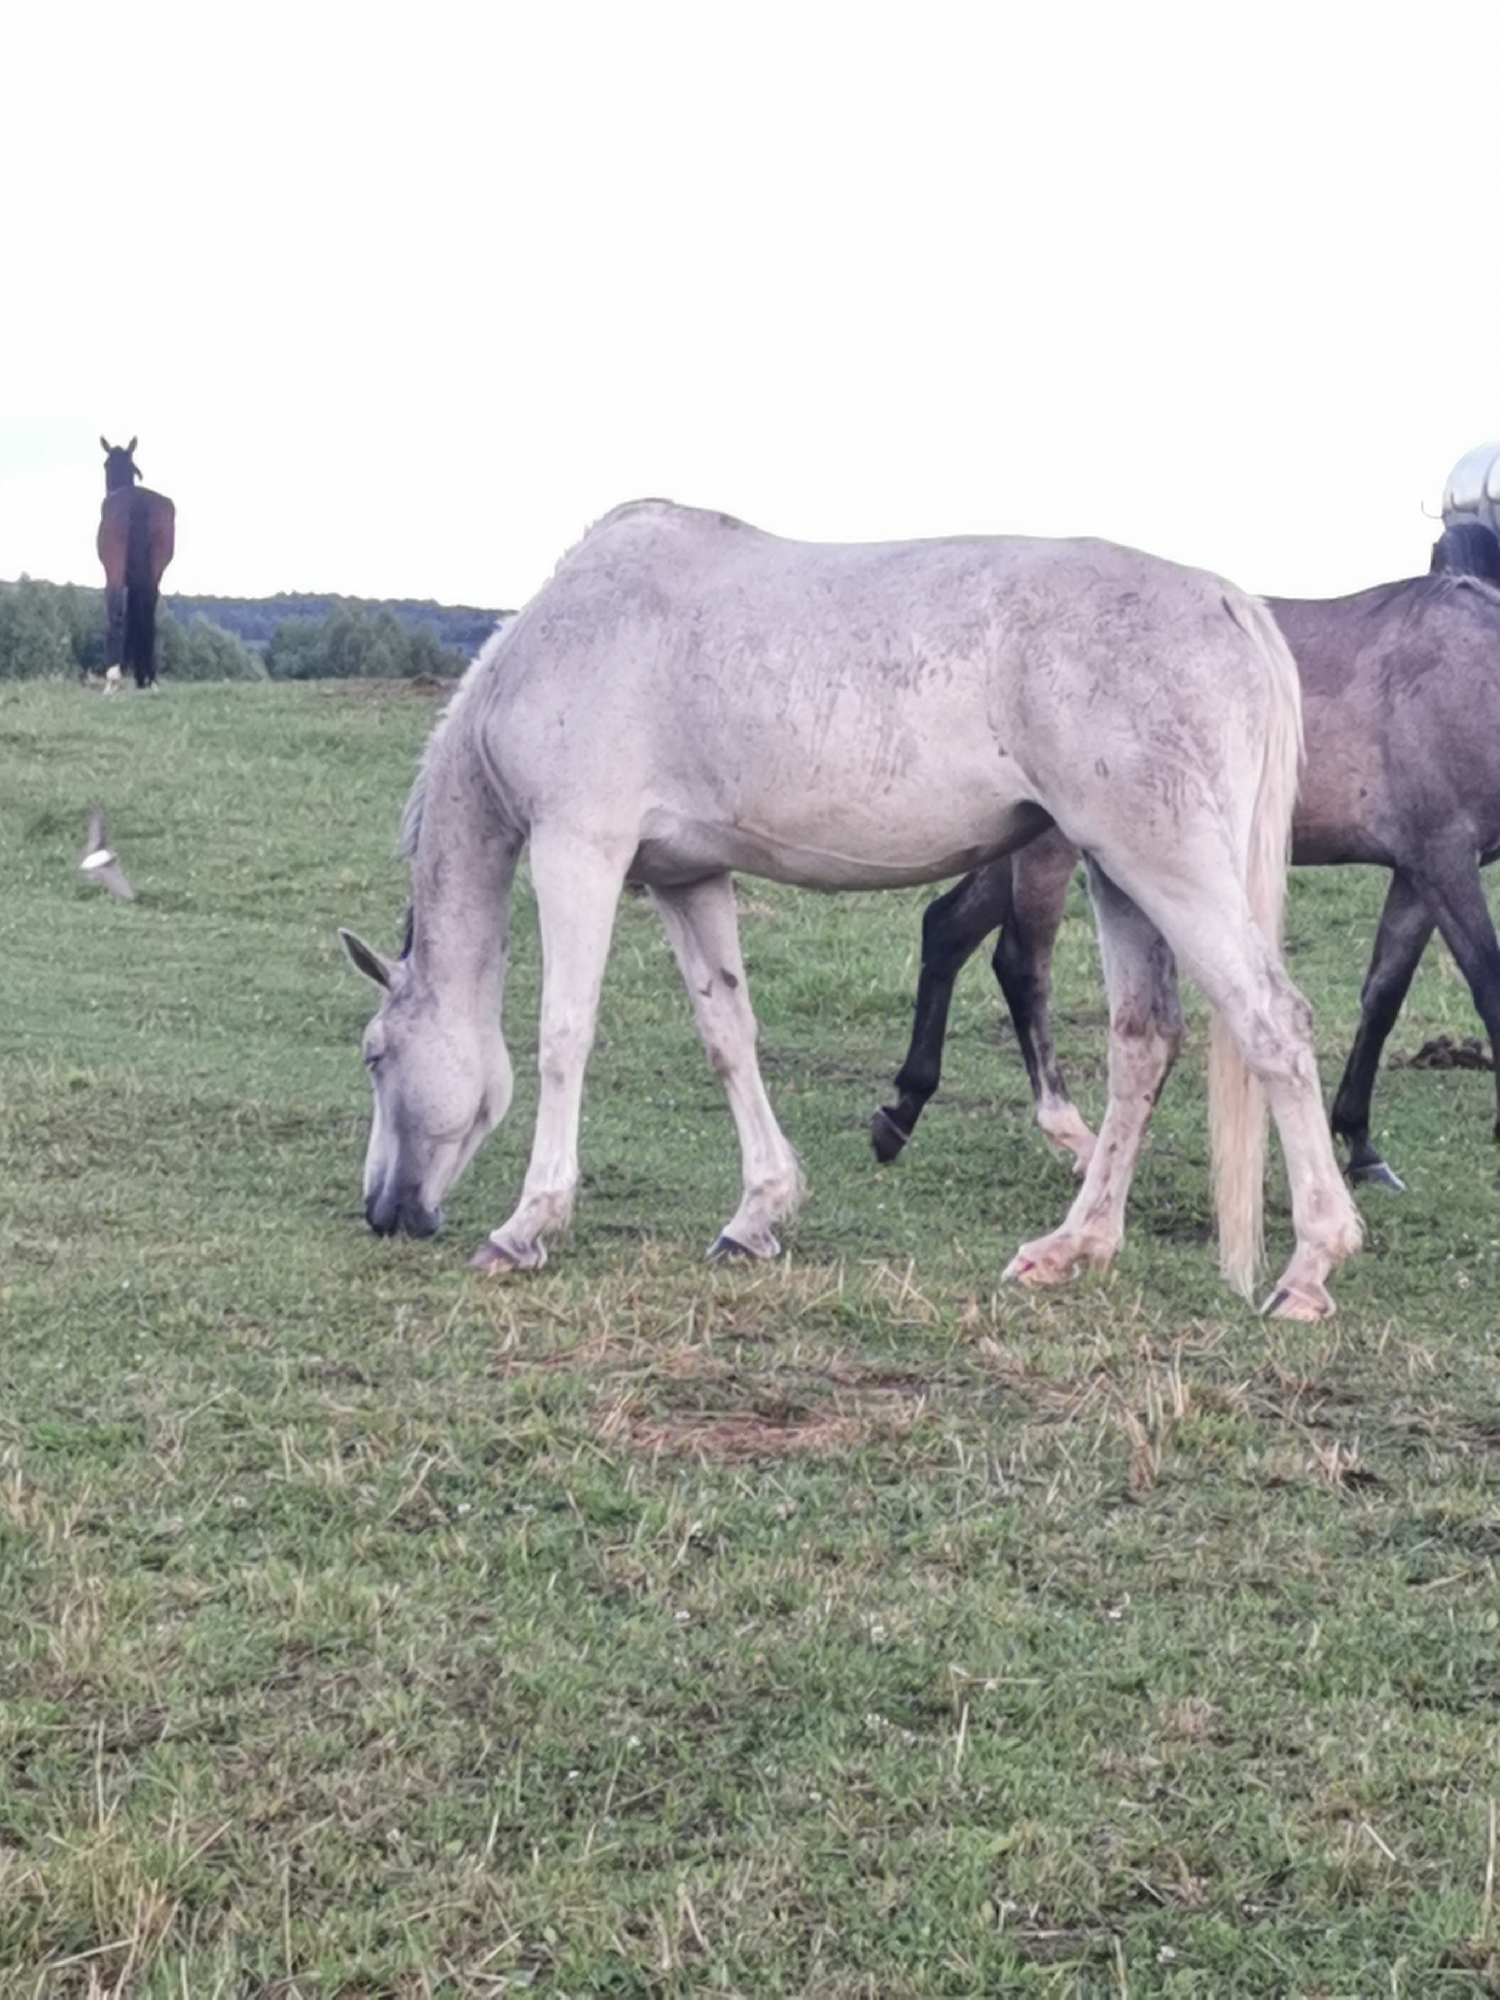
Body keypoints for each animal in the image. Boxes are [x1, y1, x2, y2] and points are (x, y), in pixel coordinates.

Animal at [97, 437, 175, 689]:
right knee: (148, 609)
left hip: (114, 568)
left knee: (116, 609)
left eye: (105, 464)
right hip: (155, 572)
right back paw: (149, 676)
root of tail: (138, 502)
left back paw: (112, 677)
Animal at [342, 502, 1361, 1316]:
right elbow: (729, 1035)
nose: (383, 1213)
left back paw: (1311, 1267)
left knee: (1273, 1024)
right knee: (1144, 1041)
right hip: (1118, 875)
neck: (556, 643)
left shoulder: (577, 850)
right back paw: (1075, 1245)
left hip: (1167, 867)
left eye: (375, 1054)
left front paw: (527, 1225)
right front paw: (758, 1212)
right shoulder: (686, 878)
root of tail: (1227, 602)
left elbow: (563, 1037)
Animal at [871, 561, 1500, 1193]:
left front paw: (1361, 1144)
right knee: (1018, 962)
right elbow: (1486, 985)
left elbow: (1383, 995)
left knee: (947, 928)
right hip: (1051, 847)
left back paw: (901, 1111)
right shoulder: (1442, 858)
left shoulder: (1419, 871)